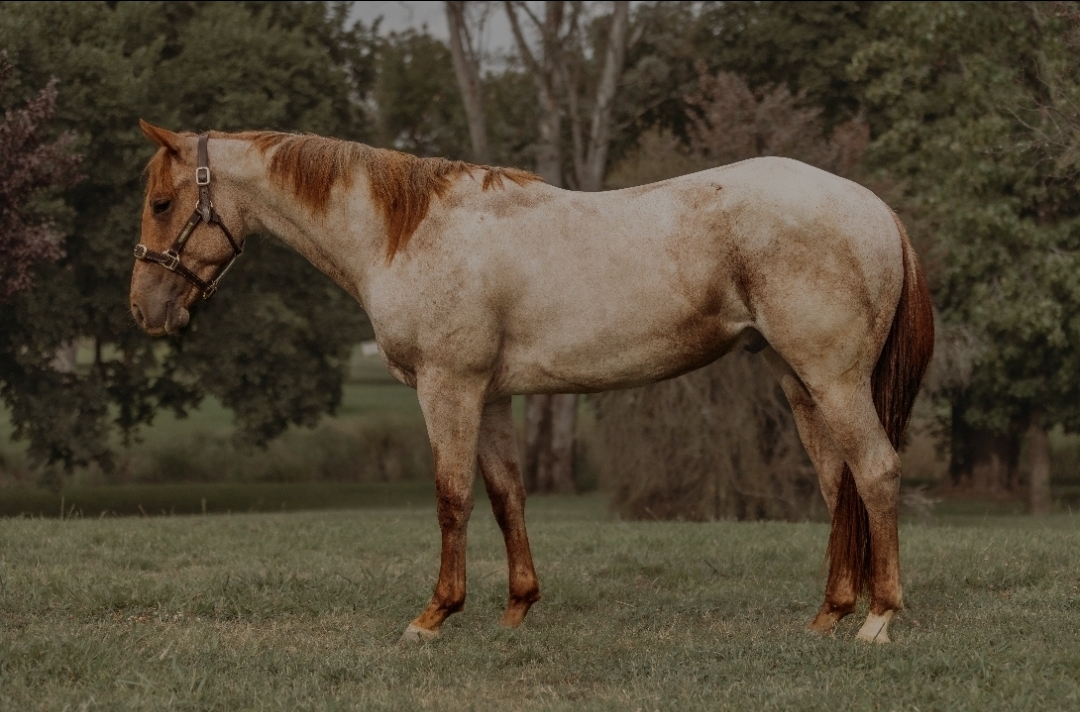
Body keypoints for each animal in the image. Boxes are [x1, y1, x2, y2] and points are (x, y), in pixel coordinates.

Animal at [129, 120, 934, 644]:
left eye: (163, 203)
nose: (146, 310)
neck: (409, 232)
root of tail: (872, 206)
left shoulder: (447, 388)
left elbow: (452, 497)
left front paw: (434, 615)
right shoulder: (491, 397)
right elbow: (505, 495)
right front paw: (518, 607)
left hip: (834, 380)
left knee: (876, 473)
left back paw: (878, 618)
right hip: (801, 383)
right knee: (839, 485)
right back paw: (830, 614)